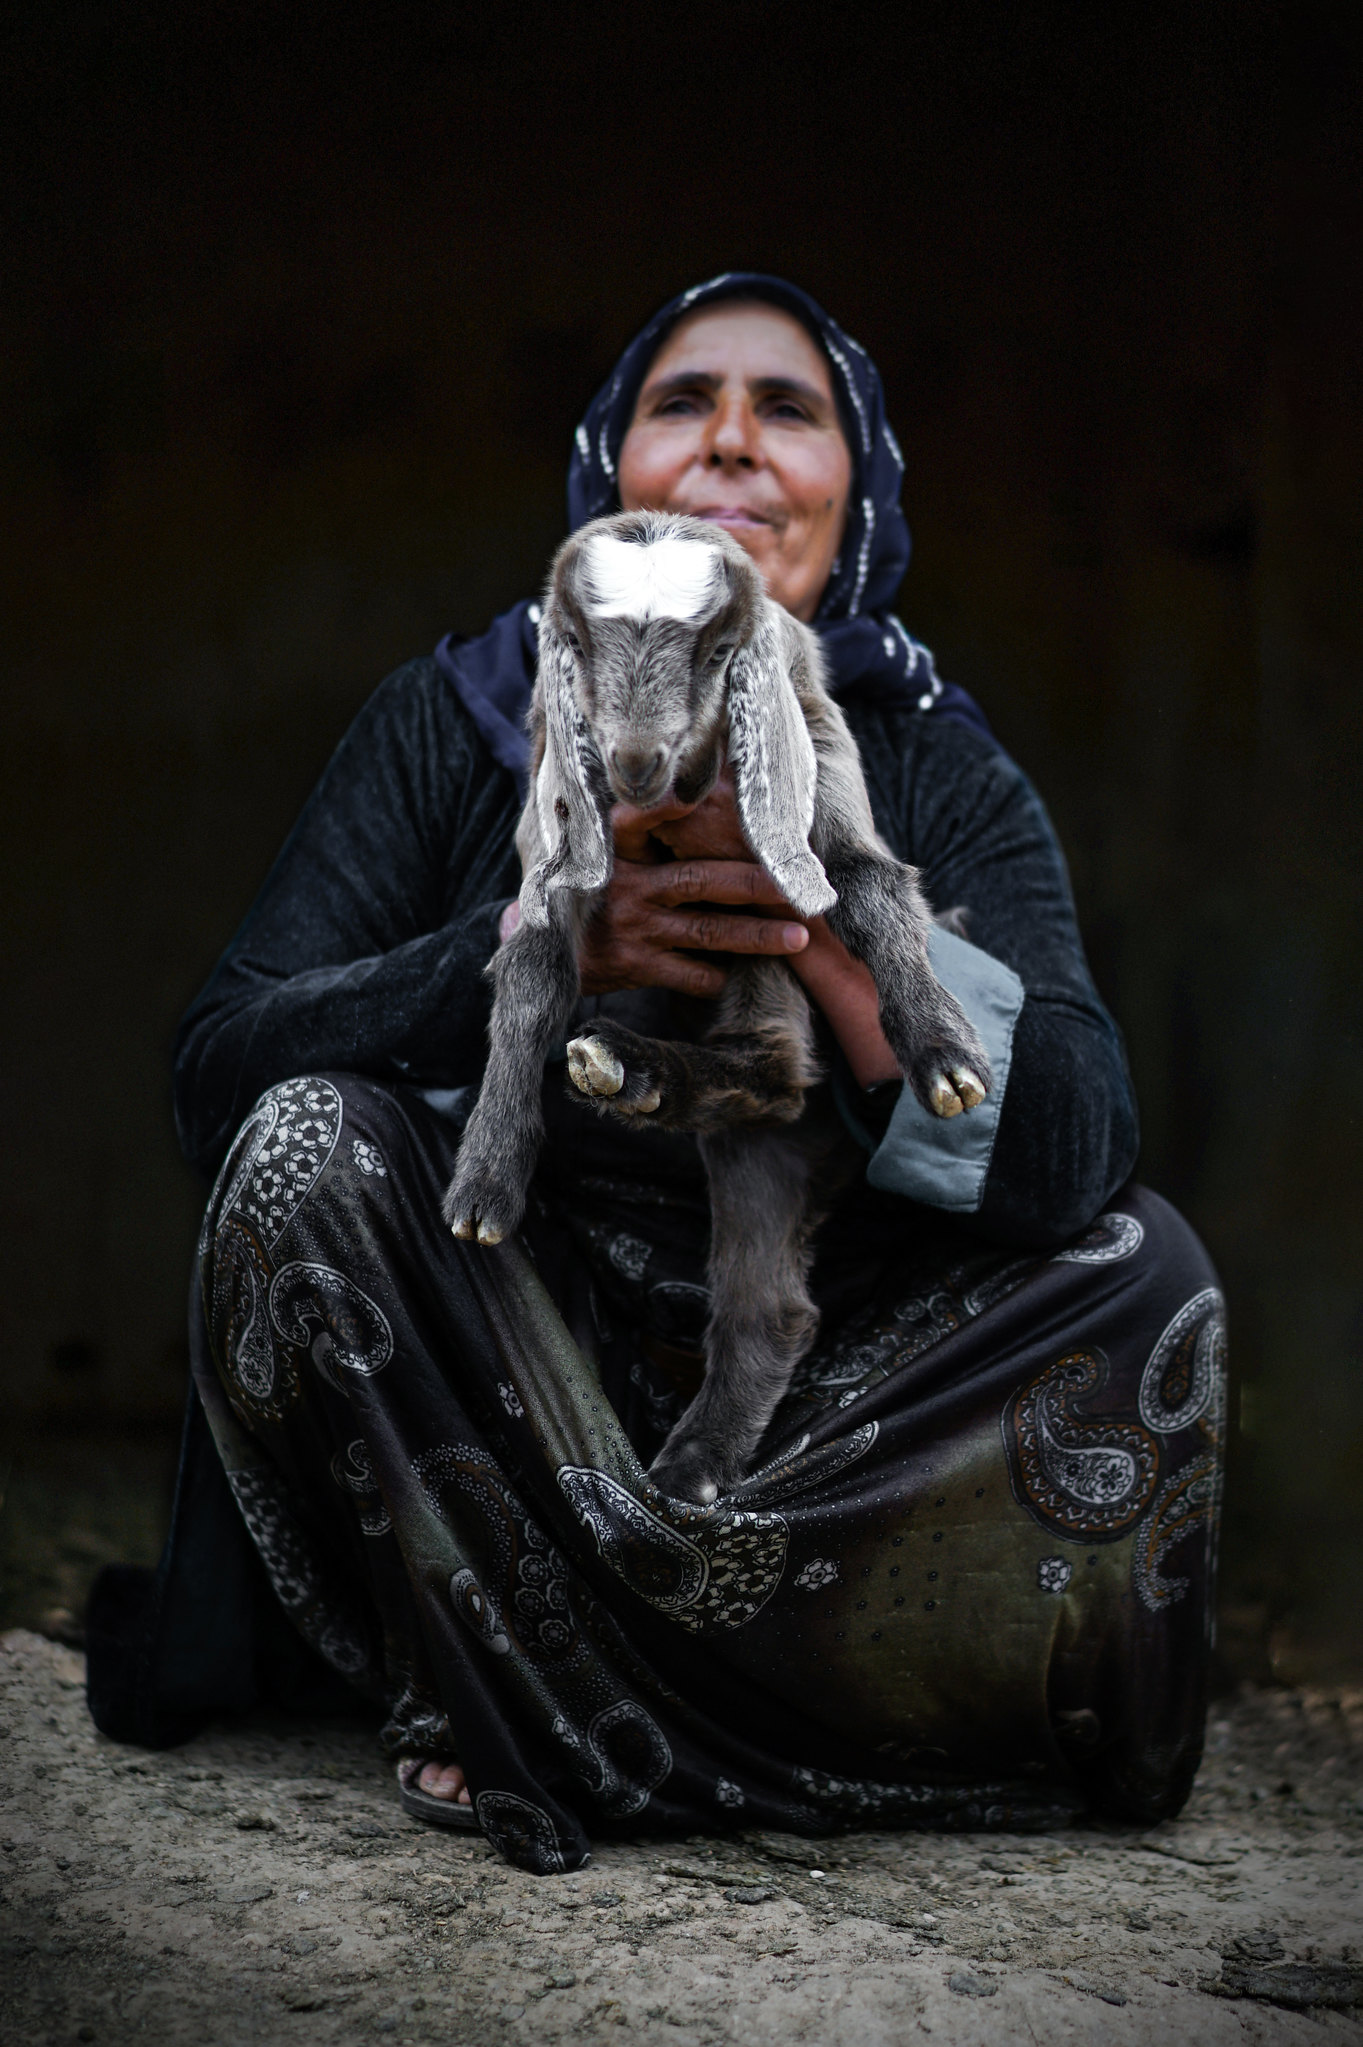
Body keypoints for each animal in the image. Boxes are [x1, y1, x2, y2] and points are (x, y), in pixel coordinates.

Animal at [446, 511, 986, 1506]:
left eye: (720, 653)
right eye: (575, 644)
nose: (633, 761)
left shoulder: (815, 752)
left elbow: (866, 884)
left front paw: (944, 1054)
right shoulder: (552, 819)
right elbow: (531, 969)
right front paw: (486, 1178)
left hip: (764, 976)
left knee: (776, 1074)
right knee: (772, 1264)